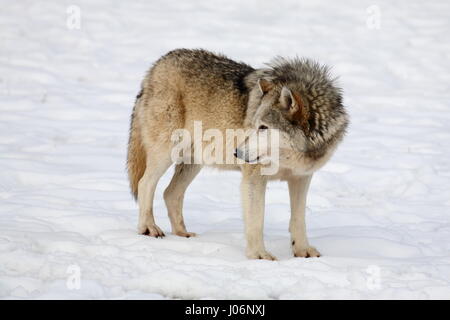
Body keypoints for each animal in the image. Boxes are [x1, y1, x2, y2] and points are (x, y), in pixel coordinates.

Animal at [126, 49, 348, 260]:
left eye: (264, 127)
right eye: (254, 125)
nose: (237, 152)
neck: (290, 157)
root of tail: (156, 66)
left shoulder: (301, 178)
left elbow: (298, 219)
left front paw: (303, 251)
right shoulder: (254, 178)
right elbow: (256, 220)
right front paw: (259, 255)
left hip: (194, 162)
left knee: (170, 193)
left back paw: (183, 234)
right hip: (167, 153)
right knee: (145, 184)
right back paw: (149, 228)